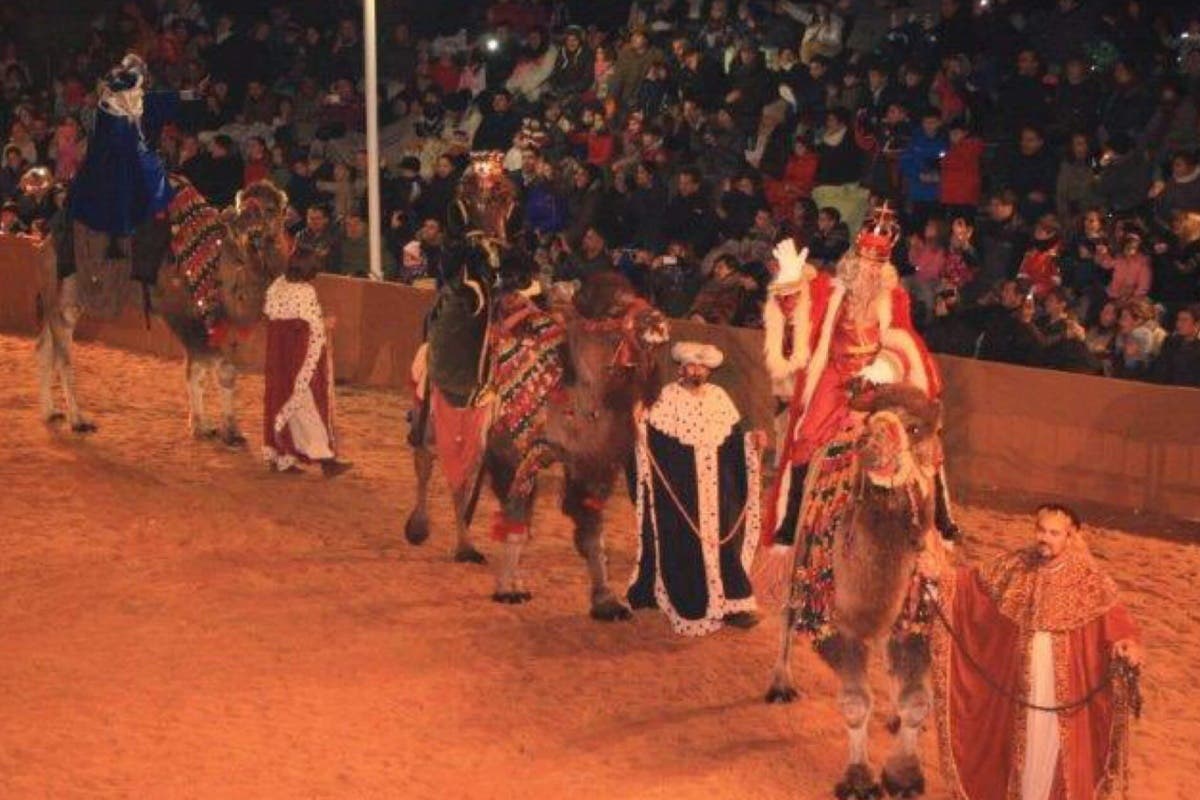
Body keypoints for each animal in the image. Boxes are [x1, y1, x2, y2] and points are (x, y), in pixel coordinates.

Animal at [35, 176, 288, 443]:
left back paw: (50, 412)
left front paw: (205, 426)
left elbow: (199, 371)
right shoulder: (180, 313)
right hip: (65, 297)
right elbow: (213, 369)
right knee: (63, 357)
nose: (244, 222)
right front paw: (225, 431)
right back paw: (79, 421)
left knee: (44, 348)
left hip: (55, 297)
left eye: (271, 209)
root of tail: (45, 242)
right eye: (242, 205)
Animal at [768, 383, 945, 796]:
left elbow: (916, 700)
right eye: (871, 420)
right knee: (787, 614)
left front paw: (904, 774)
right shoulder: (836, 624)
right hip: (796, 556)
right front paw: (859, 778)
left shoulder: (918, 619)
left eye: (915, 428)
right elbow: (855, 702)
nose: (868, 442)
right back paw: (781, 684)